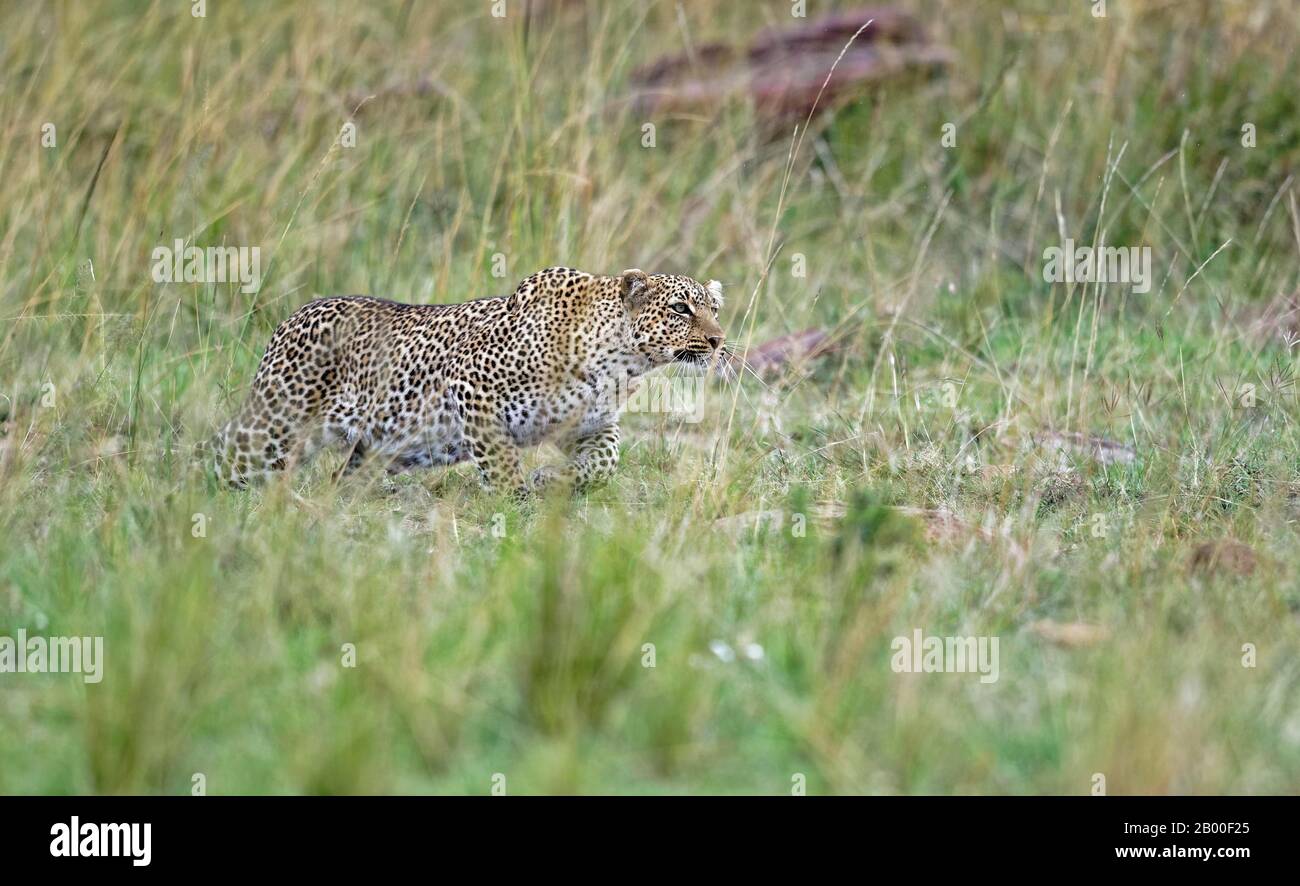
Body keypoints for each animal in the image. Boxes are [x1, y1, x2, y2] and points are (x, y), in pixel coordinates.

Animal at [206, 267, 727, 495]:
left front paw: (553, 479)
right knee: (219, 454)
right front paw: (516, 500)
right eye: (680, 308)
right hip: (275, 426)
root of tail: (290, 317)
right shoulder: (471, 384)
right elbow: (499, 459)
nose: (719, 340)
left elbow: (606, 461)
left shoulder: (590, 425)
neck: (621, 362)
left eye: (714, 309)